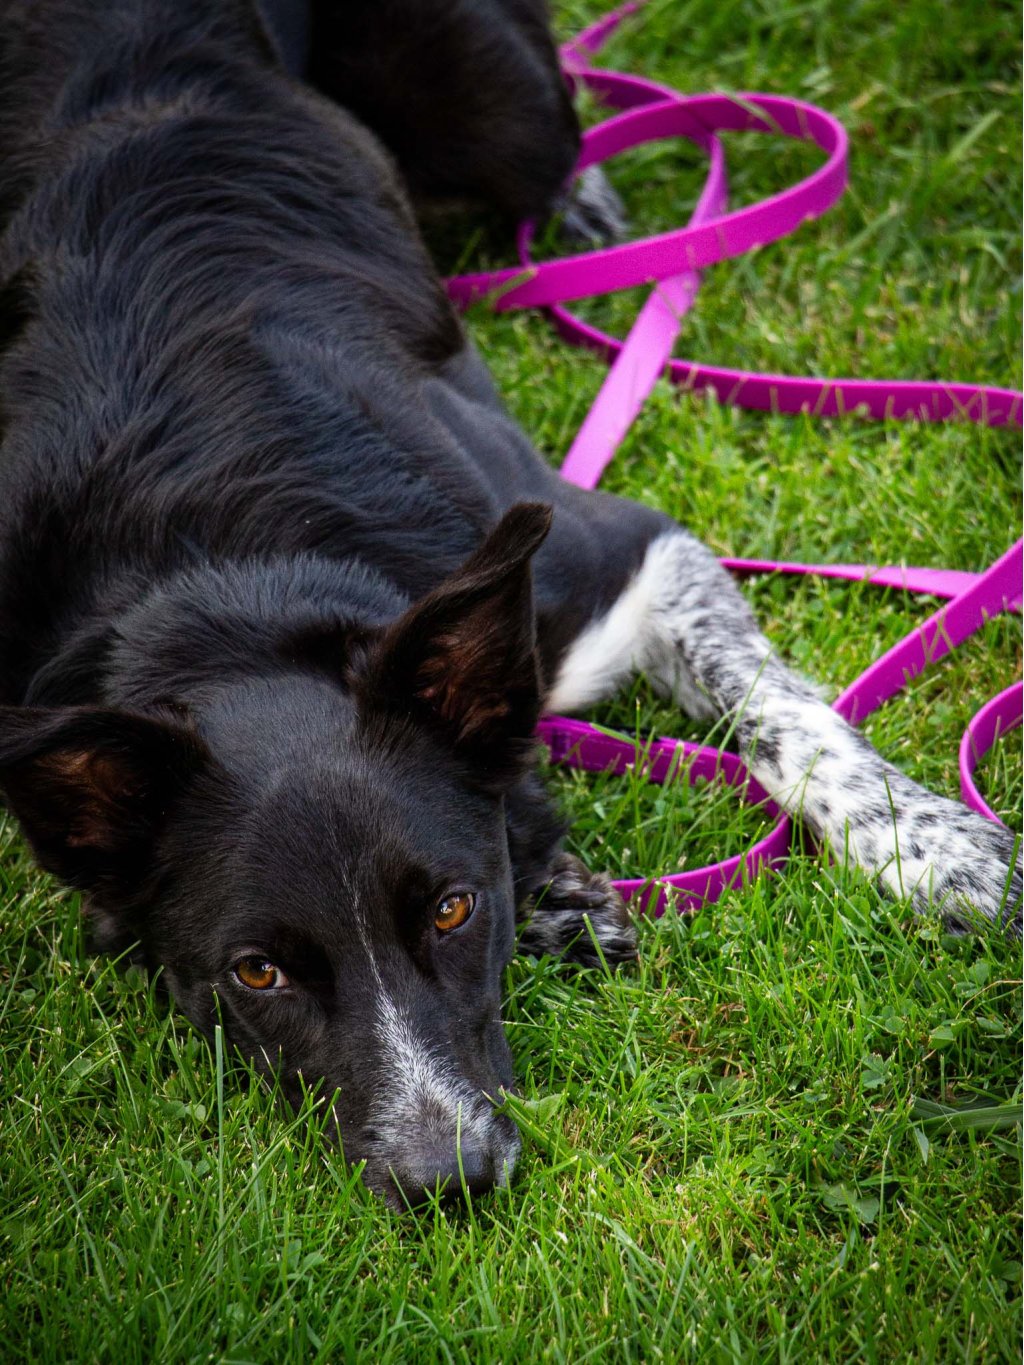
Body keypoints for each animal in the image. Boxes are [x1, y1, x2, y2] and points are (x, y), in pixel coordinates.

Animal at [0, 0, 1021, 1217]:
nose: (449, 1179)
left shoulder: (619, 549)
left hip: (494, 101)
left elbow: (789, 722)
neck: (231, 572)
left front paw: (937, 852)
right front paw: (555, 894)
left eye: (449, 910)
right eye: (259, 973)